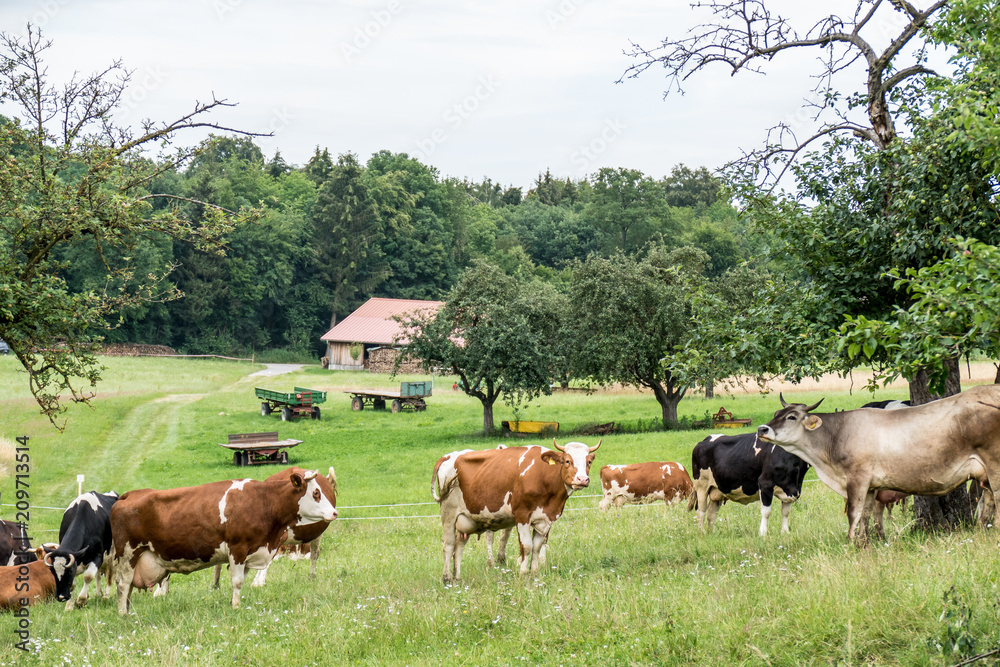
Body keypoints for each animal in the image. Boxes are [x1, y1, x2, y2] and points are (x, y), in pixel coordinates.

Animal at [111, 468, 334, 612]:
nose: (334, 512)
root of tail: (129, 495)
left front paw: (235, 603)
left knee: (128, 589)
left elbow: (242, 580)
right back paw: (123, 615)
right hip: (128, 555)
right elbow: (237, 581)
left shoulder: (250, 551)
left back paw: (128, 612)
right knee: (123, 585)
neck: (264, 501)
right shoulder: (238, 548)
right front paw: (235, 607)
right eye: (316, 493)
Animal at [432, 440, 600, 588]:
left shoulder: (545, 519)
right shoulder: (522, 515)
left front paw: (535, 573)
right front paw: (523, 574)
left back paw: (458, 578)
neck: (543, 477)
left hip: (467, 519)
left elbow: (537, 547)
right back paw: (447, 579)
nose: (582, 479)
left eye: (588, 462)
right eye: (567, 461)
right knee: (448, 545)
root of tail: (450, 456)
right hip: (449, 512)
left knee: (459, 546)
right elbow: (527, 546)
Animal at [756, 384, 1000, 544]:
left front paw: (851, 543)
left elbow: (854, 513)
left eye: (792, 417)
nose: (761, 429)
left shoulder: (857, 478)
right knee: (987, 502)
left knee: (997, 498)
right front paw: (864, 543)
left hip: (995, 464)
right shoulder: (871, 486)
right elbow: (866, 515)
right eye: (776, 413)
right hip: (984, 475)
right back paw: (982, 530)